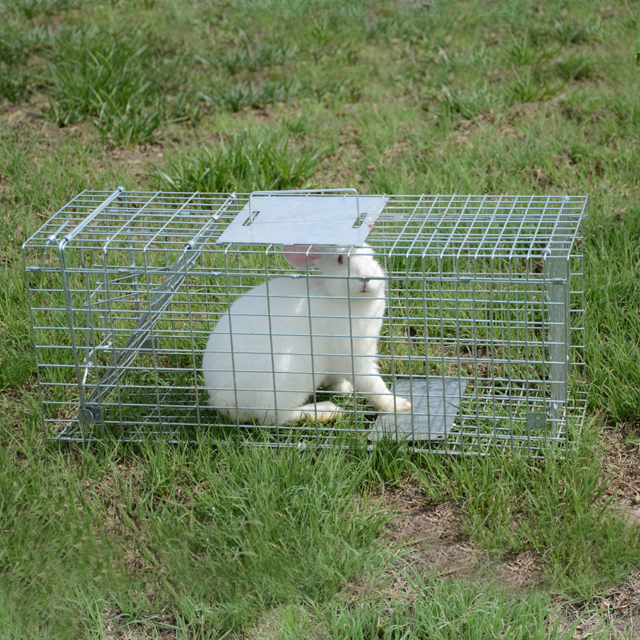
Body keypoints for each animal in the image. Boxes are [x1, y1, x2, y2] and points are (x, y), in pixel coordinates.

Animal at [202, 244, 411, 426]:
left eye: (373, 257)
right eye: (340, 259)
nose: (365, 277)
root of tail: (223, 399)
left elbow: (336, 380)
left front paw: (345, 389)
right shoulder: (355, 356)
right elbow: (373, 385)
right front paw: (400, 405)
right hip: (289, 381)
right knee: (276, 418)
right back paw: (328, 411)